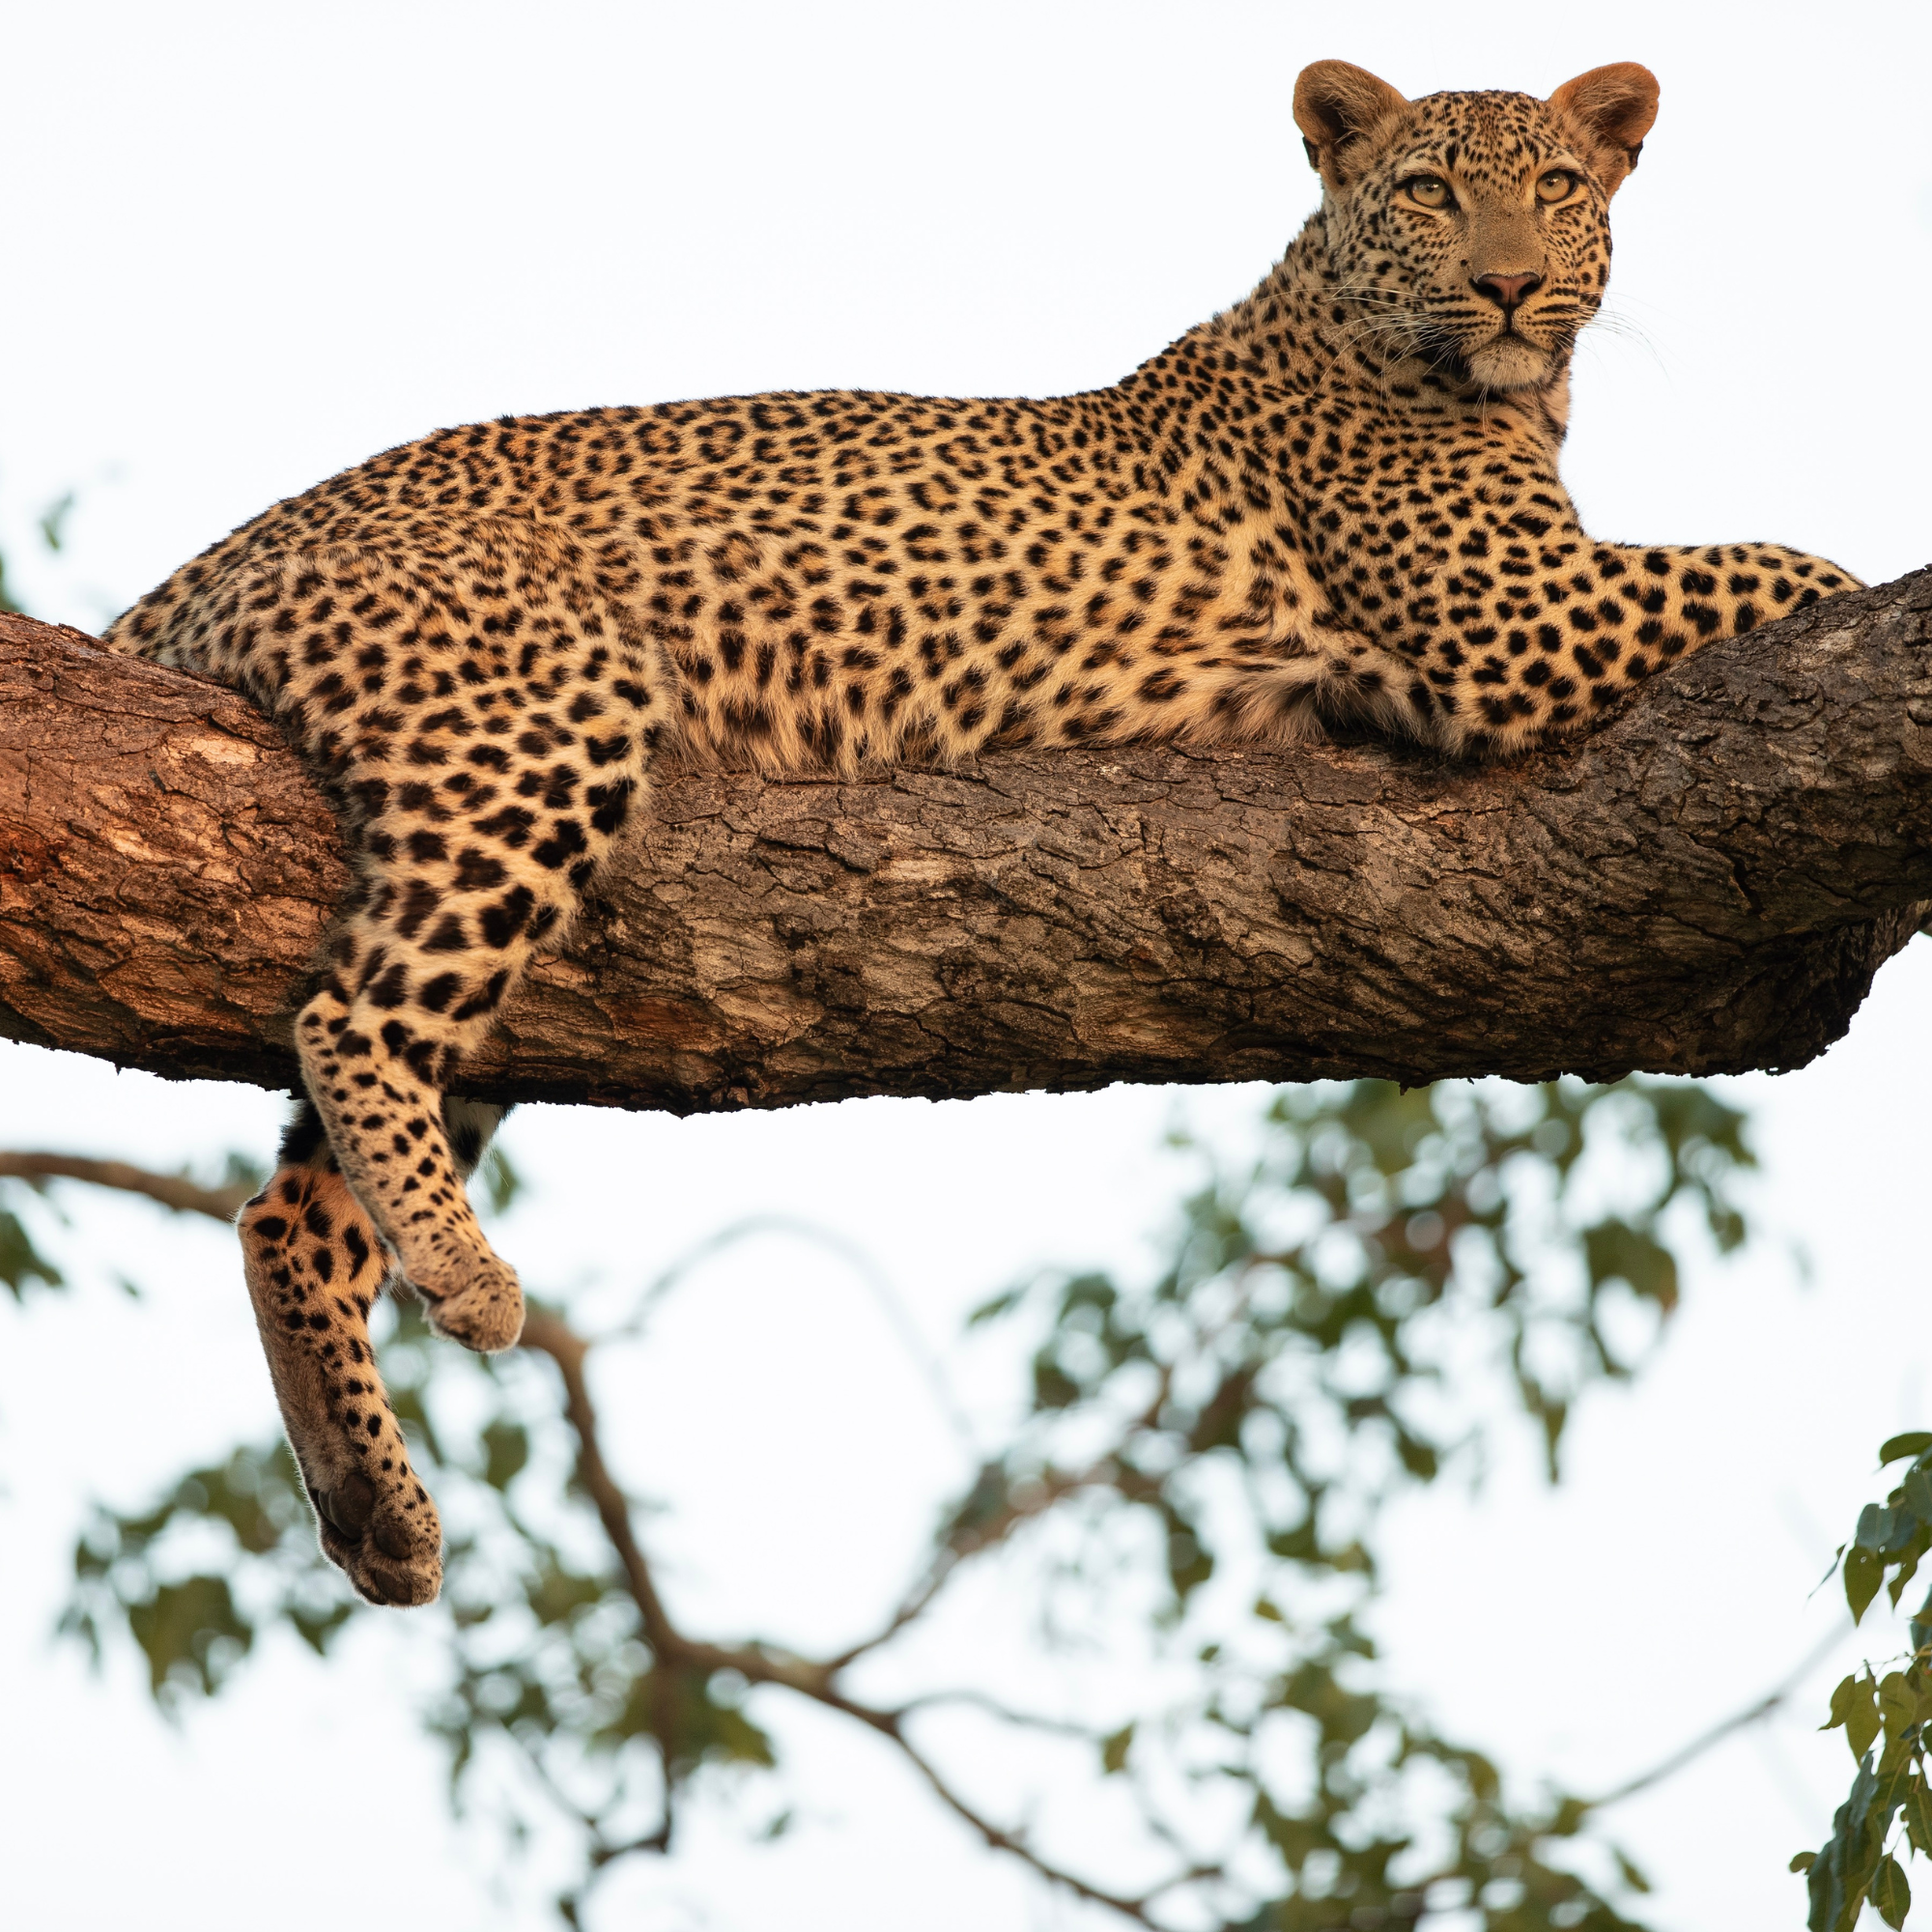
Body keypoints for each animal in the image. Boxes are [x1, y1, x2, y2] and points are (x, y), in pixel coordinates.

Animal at [104, 59, 1861, 1608]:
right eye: (1431, 191)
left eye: (1557, 187)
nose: (1507, 288)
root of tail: (216, 556)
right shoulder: (1519, 620)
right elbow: (1791, 566)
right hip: (540, 713)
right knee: (351, 1023)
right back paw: (464, 1287)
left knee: (285, 1211)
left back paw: (377, 1512)